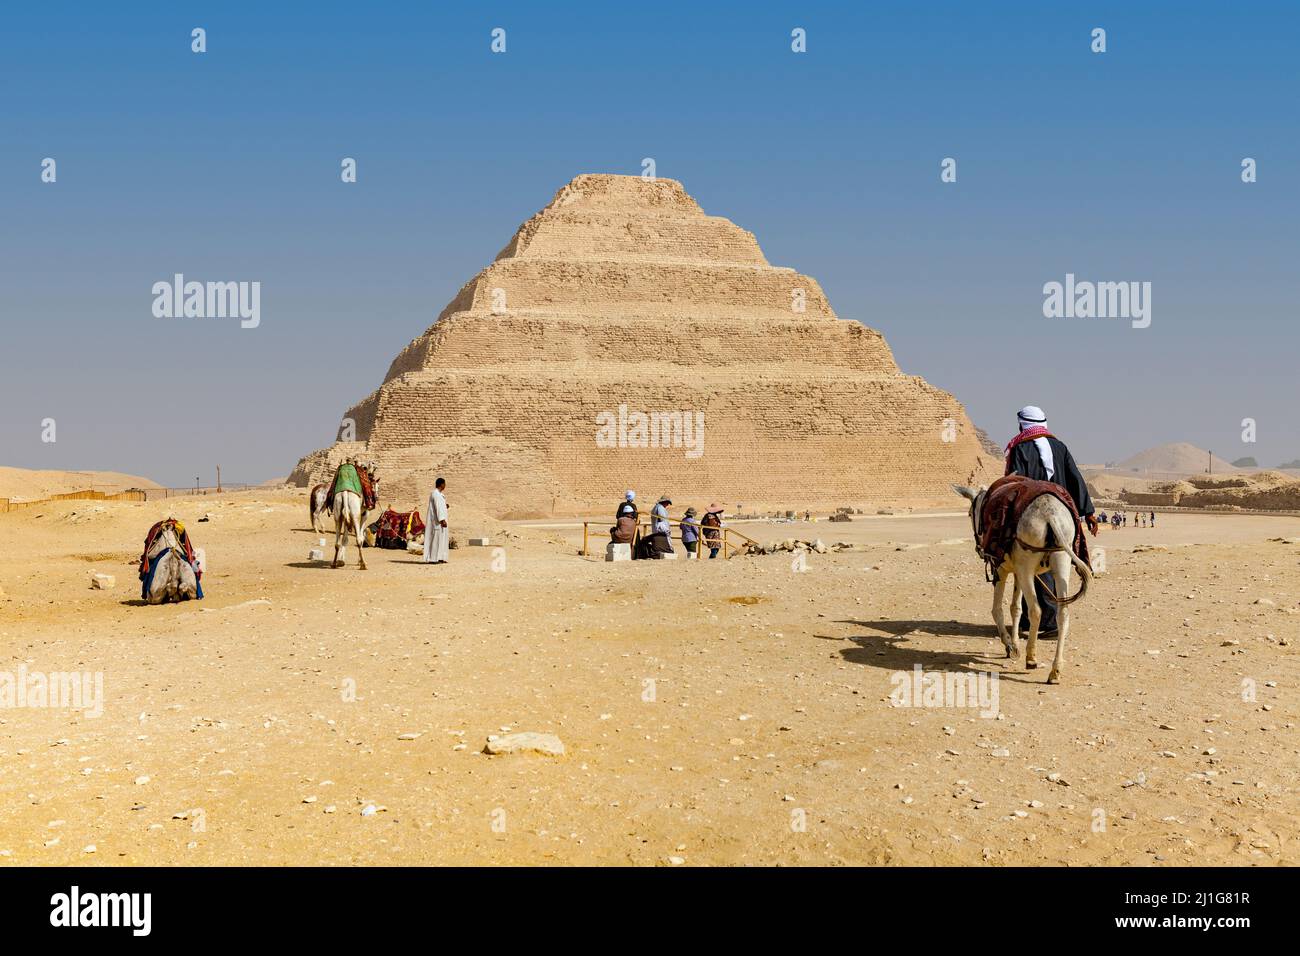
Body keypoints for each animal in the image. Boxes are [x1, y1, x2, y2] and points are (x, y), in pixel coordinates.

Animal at [956, 486, 1086, 681]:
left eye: (970, 513)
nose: (978, 548)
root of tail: (1050, 514)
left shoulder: (1000, 569)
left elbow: (997, 609)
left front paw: (1009, 645)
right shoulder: (1017, 572)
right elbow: (1015, 608)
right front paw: (1015, 643)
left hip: (1027, 567)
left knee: (1036, 610)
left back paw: (1031, 657)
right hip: (1061, 558)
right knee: (1063, 613)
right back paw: (1055, 670)